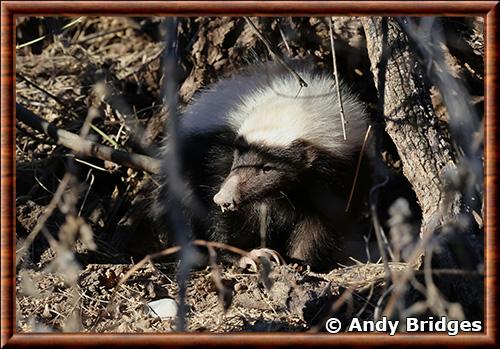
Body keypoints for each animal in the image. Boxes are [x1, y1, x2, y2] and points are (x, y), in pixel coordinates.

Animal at [154, 61, 374, 270]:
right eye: (237, 157)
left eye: (267, 168)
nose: (223, 198)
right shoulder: (219, 154)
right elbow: (236, 215)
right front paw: (248, 254)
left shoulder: (346, 173)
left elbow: (322, 222)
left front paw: (300, 260)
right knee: (186, 207)